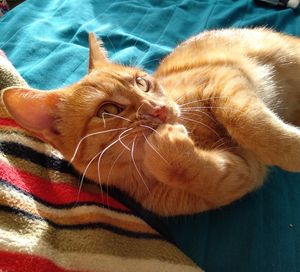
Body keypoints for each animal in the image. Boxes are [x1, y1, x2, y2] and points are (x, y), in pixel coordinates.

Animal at [2, 27, 300, 215]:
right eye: (107, 110)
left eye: (141, 83)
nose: (160, 110)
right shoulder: (242, 173)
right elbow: (192, 172)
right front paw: (168, 151)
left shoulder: (222, 78)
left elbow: (247, 119)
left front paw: (291, 149)